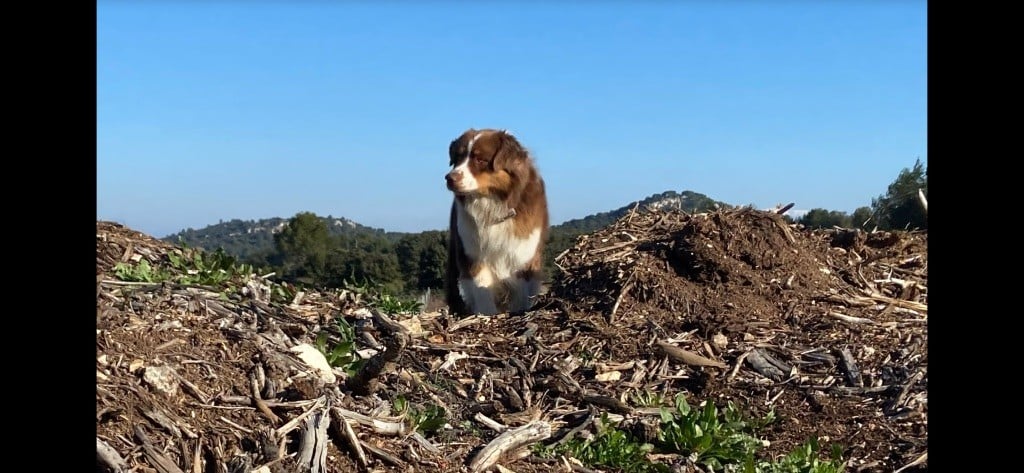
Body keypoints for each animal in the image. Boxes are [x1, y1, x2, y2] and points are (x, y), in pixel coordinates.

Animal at [444, 128, 549, 316]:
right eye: (457, 159)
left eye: (480, 160)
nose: (449, 178)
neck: (492, 205)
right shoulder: (472, 252)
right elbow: (481, 289)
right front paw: (486, 314)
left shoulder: (522, 254)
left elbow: (520, 292)